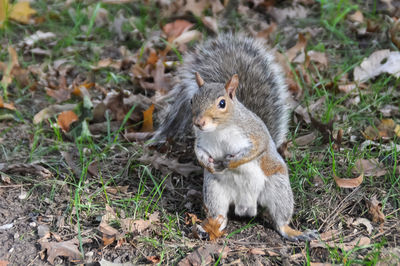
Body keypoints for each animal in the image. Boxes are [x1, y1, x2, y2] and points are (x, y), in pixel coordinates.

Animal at [152, 33, 316, 241]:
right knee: (220, 216)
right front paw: (207, 164)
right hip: (214, 192)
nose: (199, 122)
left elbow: (257, 148)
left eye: (222, 103)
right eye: (192, 100)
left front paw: (232, 161)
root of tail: (246, 205)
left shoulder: (255, 132)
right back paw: (209, 228)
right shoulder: (201, 140)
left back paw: (294, 233)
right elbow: (199, 151)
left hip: (277, 189)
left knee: (280, 220)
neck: (219, 129)